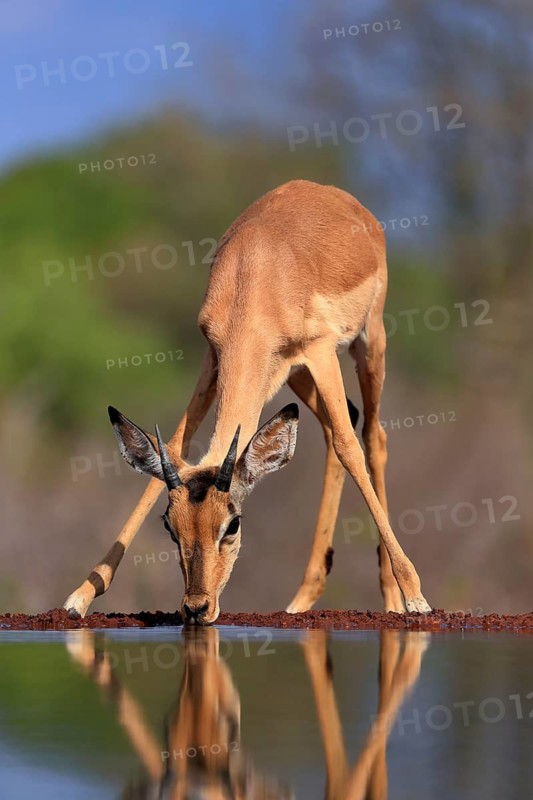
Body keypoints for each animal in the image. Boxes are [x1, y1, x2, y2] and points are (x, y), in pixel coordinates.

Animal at [64, 179, 431, 624]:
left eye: (233, 524)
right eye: (170, 526)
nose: (197, 607)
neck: (254, 277)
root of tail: (338, 197)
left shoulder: (321, 350)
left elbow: (350, 448)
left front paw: (415, 595)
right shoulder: (215, 360)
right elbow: (175, 448)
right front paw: (80, 596)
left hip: (367, 341)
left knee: (371, 435)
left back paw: (394, 597)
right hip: (293, 375)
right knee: (338, 425)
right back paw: (302, 597)